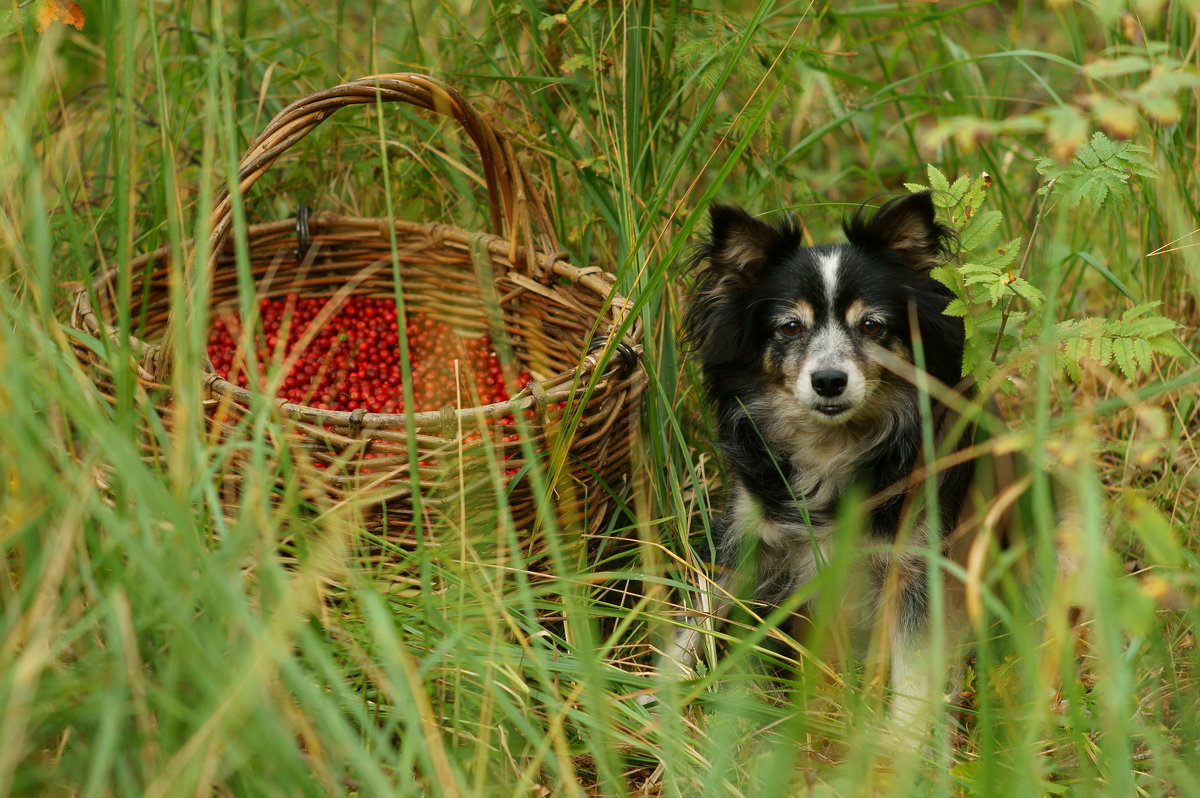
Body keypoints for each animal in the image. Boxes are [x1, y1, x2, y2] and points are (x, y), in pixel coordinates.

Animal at [667, 192, 1022, 729]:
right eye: (790, 327)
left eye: (872, 326)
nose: (829, 381)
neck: (832, 447)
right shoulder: (746, 537)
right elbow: (697, 618)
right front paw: (646, 697)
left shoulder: (916, 563)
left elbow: (914, 674)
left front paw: (900, 741)